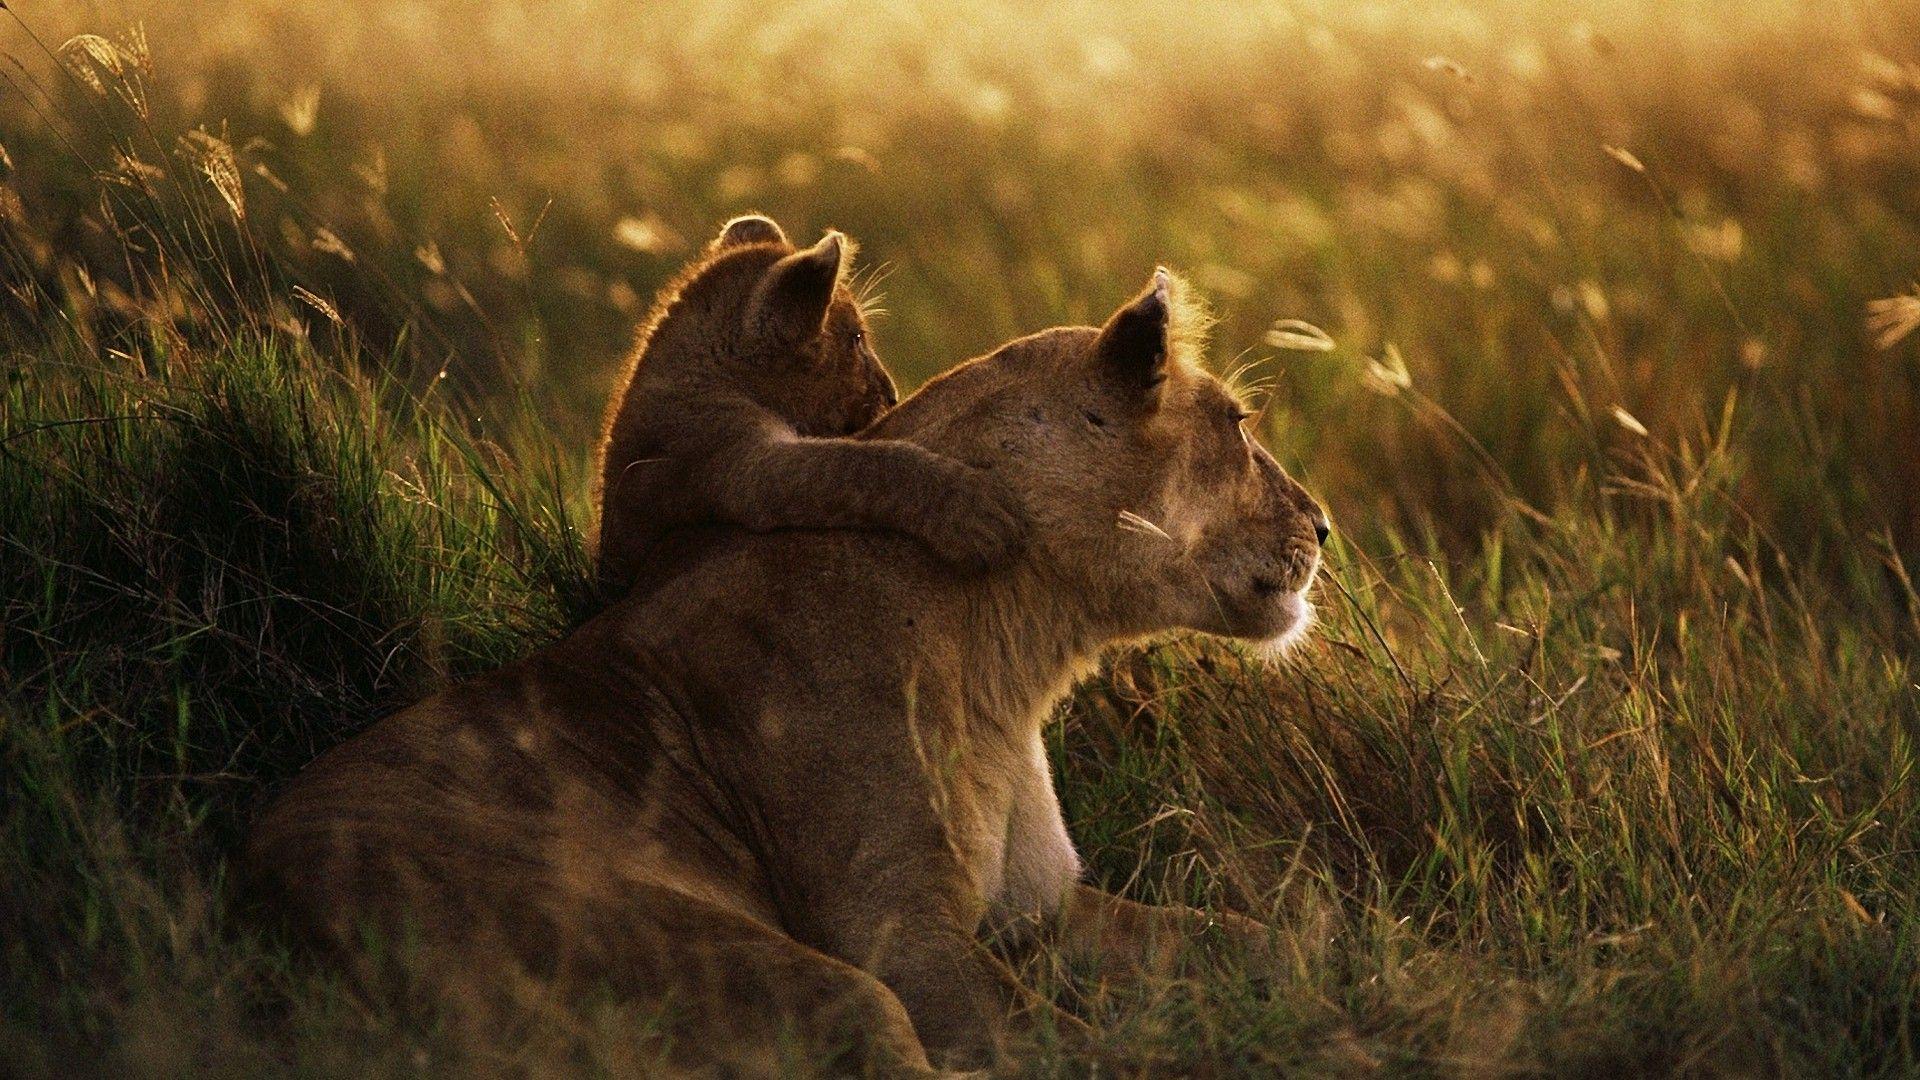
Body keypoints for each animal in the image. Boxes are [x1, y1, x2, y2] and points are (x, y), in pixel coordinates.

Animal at [243, 267, 1329, 1074]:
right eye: (1239, 424)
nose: (1323, 525)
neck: (1013, 652)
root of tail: (260, 911)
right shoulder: (896, 931)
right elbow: (1062, 1045)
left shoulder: (1043, 911)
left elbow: (1251, 936)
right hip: (766, 968)